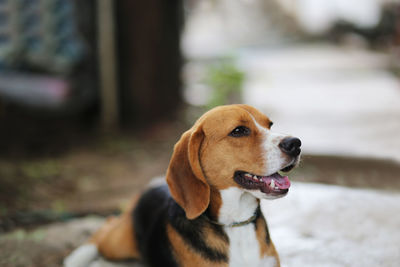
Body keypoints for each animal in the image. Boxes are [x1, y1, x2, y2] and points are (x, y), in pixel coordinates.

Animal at [65, 104, 300, 267]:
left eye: (270, 125)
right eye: (239, 131)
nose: (295, 143)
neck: (236, 223)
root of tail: (150, 187)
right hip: (119, 243)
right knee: (105, 227)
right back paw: (76, 259)